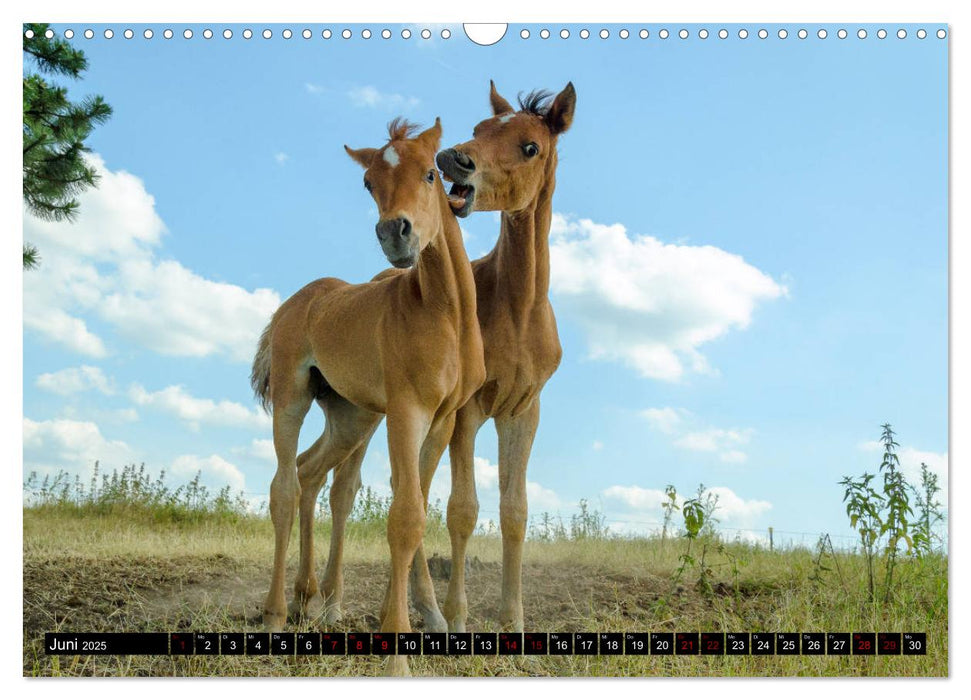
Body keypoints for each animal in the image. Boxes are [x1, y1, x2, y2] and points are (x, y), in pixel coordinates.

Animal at [251, 120, 486, 672]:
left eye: (429, 173)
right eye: (368, 183)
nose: (394, 233)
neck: (445, 314)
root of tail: (290, 305)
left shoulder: (442, 419)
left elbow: (416, 505)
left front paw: (428, 619)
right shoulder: (406, 410)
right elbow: (404, 517)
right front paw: (398, 652)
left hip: (350, 417)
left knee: (311, 474)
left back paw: (309, 599)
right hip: (293, 398)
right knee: (284, 488)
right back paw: (276, 613)